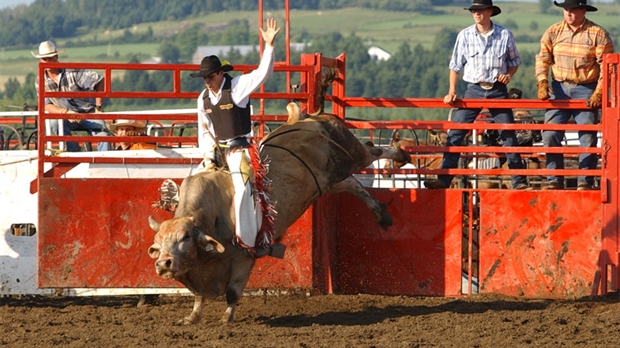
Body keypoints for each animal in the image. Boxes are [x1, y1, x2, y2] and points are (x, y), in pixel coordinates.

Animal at [148, 102, 410, 324]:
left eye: (185, 237)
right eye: (158, 242)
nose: (163, 263)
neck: (213, 215)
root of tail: (304, 118)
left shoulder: (243, 257)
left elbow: (233, 291)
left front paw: (226, 318)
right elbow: (199, 295)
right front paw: (192, 317)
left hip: (350, 152)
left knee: (373, 152)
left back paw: (401, 154)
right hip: (329, 180)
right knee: (353, 184)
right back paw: (381, 214)